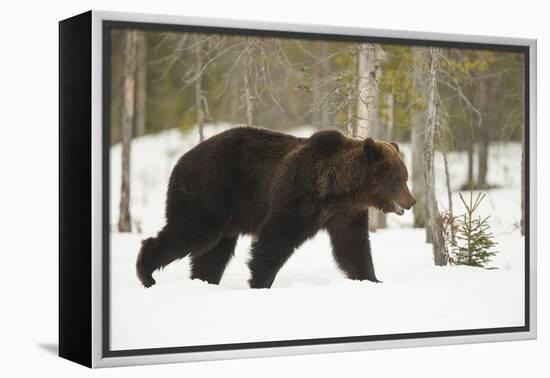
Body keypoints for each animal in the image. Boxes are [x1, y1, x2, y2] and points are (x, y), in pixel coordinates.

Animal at [136, 127, 416, 290]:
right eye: (398, 179)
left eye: (405, 177)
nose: (411, 201)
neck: (337, 189)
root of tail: (181, 159)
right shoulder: (298, 196)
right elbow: (275, 239)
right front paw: (260, 282)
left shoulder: (345, 213)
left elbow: (353, 247)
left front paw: (372, 278)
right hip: (210, 190)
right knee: (192, 232)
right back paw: (147, 273)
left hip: (226, 213)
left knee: (214, 251)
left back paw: (205, 281)